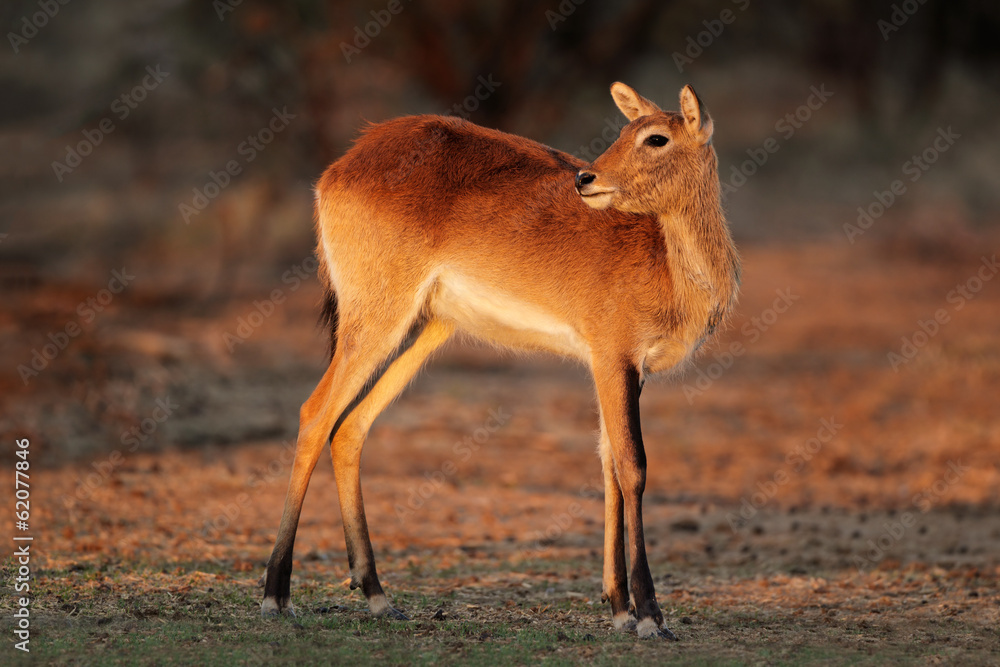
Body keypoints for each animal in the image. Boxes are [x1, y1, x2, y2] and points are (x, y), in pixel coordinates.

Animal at [260, 83, 740, 639]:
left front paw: (619, 606)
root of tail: (344, 164)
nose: (586, 178)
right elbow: (632, 465)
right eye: (627, 130)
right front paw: (648, 615)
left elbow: (607, 464)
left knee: (352, 426)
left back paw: (378, 595)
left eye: (655, 137)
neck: (668, 262)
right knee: (316, 413)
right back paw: (276, 594)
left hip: (424, 327)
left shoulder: (622, 369)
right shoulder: (612, 358)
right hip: (378, 318)